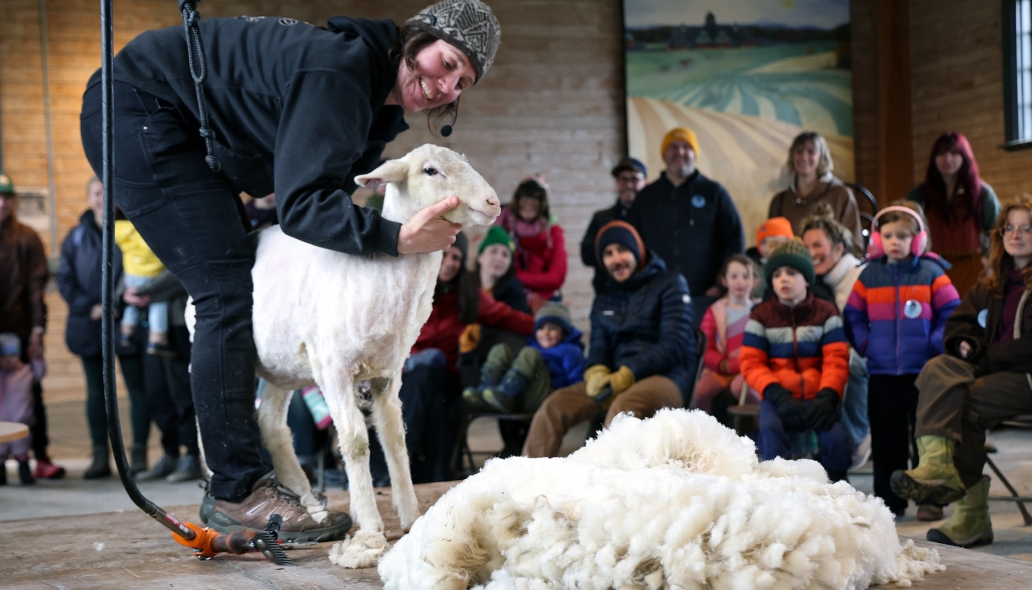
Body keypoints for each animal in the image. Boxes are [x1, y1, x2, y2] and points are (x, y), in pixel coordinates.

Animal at [208, 144, 500, 568]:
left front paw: (410, 515)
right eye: (430, 171)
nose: (493, 202)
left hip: (284, 364)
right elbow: (355, 441)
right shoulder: (333, 367)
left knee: (273, 425)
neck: (381, 275)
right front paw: (371, 526)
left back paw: (307, 505)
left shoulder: (388, 372)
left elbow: (394, 437)